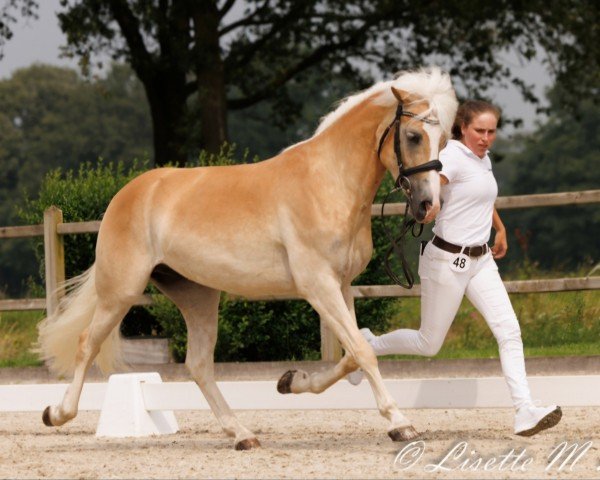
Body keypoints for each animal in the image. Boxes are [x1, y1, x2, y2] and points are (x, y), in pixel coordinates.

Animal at [38, 67, 454, 450]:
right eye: (413, 136)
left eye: (444, 139)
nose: (428, 206)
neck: (328, 182)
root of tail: (131, 191)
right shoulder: (318, 285)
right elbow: (363, 351)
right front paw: (400, 423)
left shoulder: (341, 284)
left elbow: (352, 353)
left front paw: (291, 381)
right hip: (121, 291)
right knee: (86, 343)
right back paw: (56, 413)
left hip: (197, 295)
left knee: (198, 364)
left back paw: (242, 434)